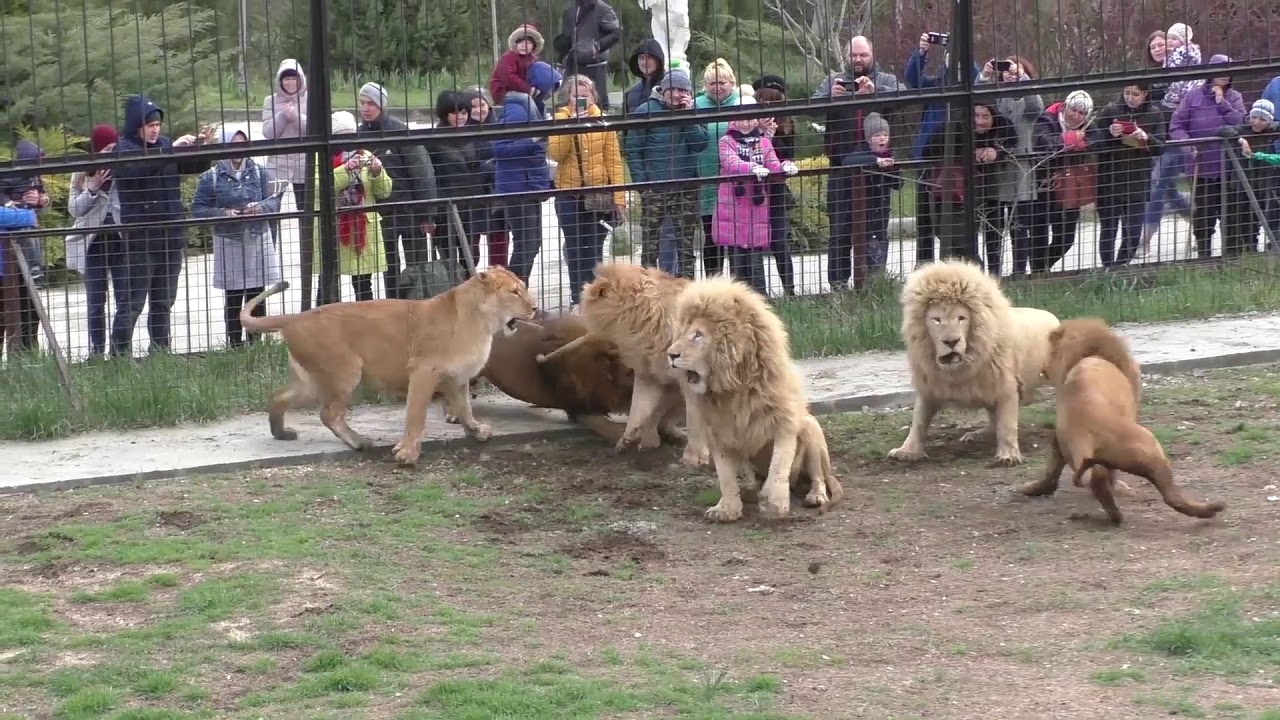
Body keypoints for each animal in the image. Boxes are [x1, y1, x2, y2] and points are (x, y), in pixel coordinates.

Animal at [240, 267, 538, 465]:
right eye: (514, 292)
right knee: (329, 414)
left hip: (310, 380)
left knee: (277, 396)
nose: (535, 307)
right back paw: (359, 442)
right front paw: (406, 453)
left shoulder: (457, 378)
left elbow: (465, 408)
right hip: (344, 373)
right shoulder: (422, 370)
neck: (482, 322)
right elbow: (416, 414)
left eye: (522, 288)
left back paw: (281, 434)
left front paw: (476, 431)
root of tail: (294, 317)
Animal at [666, 275, 844, 522]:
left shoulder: (785, 423)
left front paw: (774, 504)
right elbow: (726, 476)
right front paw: (727, 509)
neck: (733, 390)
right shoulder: (719, 432)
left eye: (698, 335)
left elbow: (779, 466)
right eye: (683, 333)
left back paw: (814, 496)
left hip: (810, 428)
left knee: (818, 477)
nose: (670, 355)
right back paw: (752, 490)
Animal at [888, 259, 1061, 467]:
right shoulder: (931, 385)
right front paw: (907, 451)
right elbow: (918, 421)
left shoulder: (1006, 386)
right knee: (992, 421)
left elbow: (1007, 424)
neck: (960, 367)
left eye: (961, 318)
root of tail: (1054, 317)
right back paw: (975, 435)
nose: (951, 341)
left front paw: (1008, 455)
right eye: (936, 319)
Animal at [1016, 317, 1225, 525]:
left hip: (1075, 449)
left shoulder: (1057, 443)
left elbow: (1051, 472)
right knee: (1169, 496)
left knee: (1092, 476)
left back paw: (1113, 512)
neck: (1092, 352)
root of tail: (1087, 431)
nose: (1043, 368)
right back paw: (1212, 509)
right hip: (1150, 446)